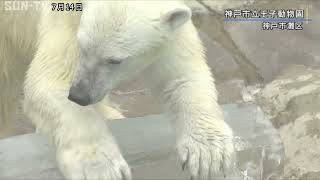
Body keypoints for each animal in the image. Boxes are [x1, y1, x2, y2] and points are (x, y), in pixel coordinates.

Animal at [1, 0, 234, 179]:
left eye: (115, 60)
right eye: (83, 48)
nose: (79, 95)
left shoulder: (173, 29)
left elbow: (180, 78)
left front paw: (208, 154)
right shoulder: (67, 21)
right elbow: (50, 81)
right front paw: (101, 168)